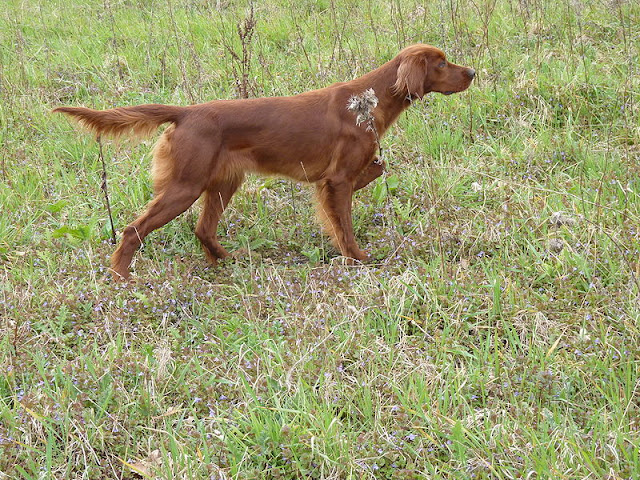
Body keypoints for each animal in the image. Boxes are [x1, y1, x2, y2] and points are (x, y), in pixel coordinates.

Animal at [55, 44, 472, 282]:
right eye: (440, 63)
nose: (472, 72)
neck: (368, 100)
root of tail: (186, 113)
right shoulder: (337, 180)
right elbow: (345, 225)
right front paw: (358, 260)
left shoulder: (339, 177)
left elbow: (375, 170)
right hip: (184, 187)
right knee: (132, 231)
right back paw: (121, 279)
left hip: (223, 183)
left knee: (203, 230)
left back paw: (228, 261)